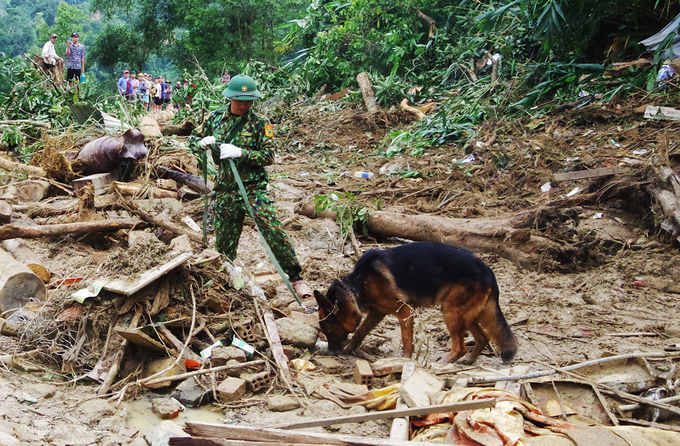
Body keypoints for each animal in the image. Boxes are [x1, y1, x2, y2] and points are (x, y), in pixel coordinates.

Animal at [316, 242, 516, 364]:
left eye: (329, 331)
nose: (332, 352)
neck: (358, 283)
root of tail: (487, 270)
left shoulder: (404, 311)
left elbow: (406, 341)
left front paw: (405, 360)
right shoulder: (377, 313)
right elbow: (359, 333)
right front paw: (348, 349)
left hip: (451, 313)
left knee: (460, 347)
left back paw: (444, 364)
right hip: (465, 315)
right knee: (482, 337)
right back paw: (469, 361)